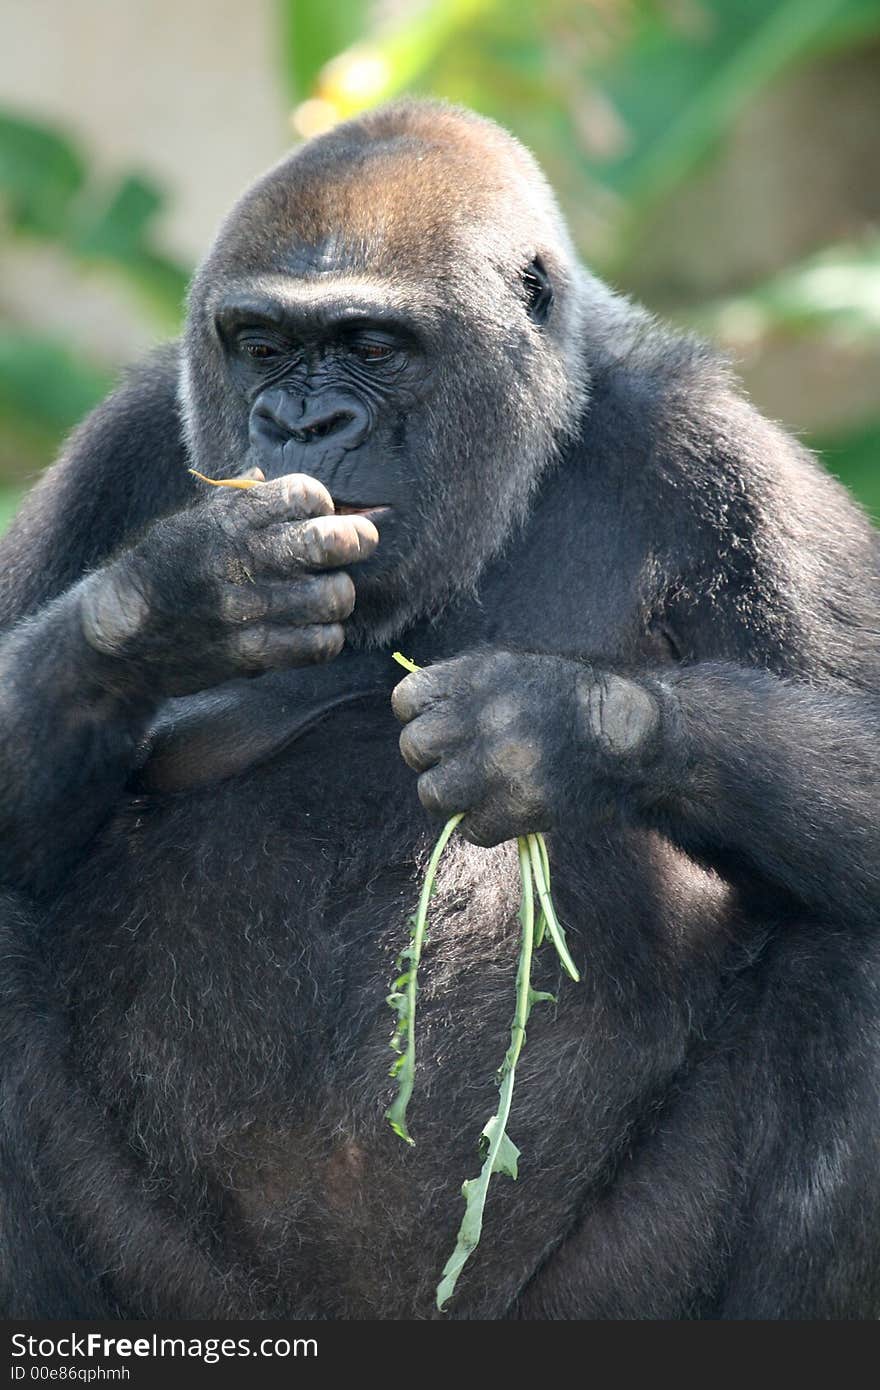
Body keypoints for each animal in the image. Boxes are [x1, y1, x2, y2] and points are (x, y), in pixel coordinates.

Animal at [1, 102, 878, 1317]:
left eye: (372, 348)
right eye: (260, 344)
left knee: (849, 960)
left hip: (592, 1301)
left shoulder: (716, 451)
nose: (301, 422)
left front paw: (562, 728)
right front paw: (181, 594)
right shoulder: (126, 435)